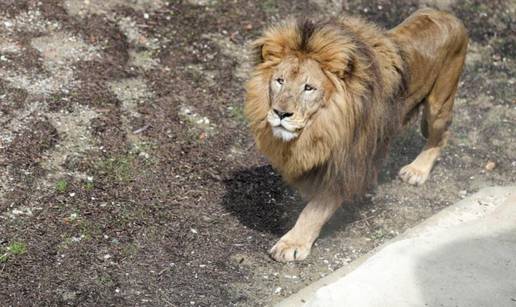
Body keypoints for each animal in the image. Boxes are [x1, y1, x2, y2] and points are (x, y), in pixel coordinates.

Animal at [244, 8, 470, 262]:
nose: (281, 113)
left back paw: (417, 170)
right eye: (279, 81)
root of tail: (445, 14)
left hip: (438, 105)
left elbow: (314, 211)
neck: (323, 124)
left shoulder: (348, 165)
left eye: (309, 88)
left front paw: (292, 243)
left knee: (442, 135)